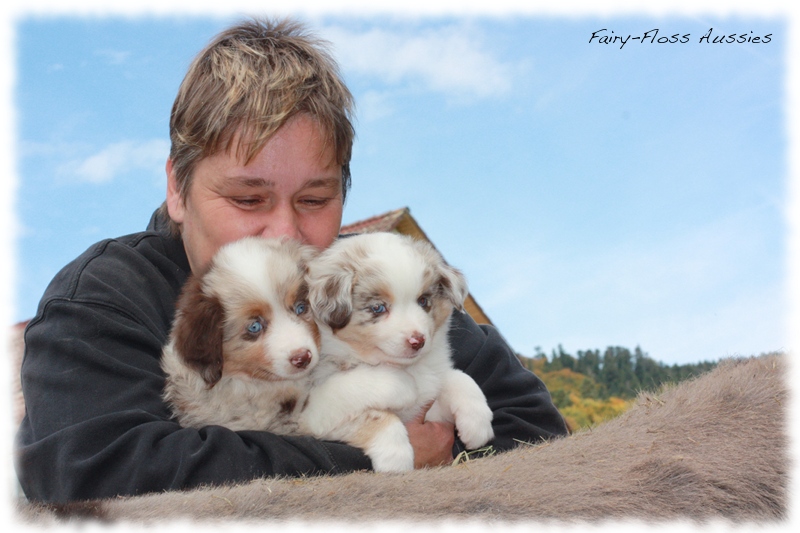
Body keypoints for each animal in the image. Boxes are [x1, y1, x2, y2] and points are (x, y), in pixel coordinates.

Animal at [296, 233, 490, 470]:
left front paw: (478, 424)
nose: (418, 341)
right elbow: (374, 416)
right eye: (378, 307)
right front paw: (395, 458)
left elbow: (458, 378)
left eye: (423, 301)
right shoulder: (311, 419)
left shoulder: (431, 402)